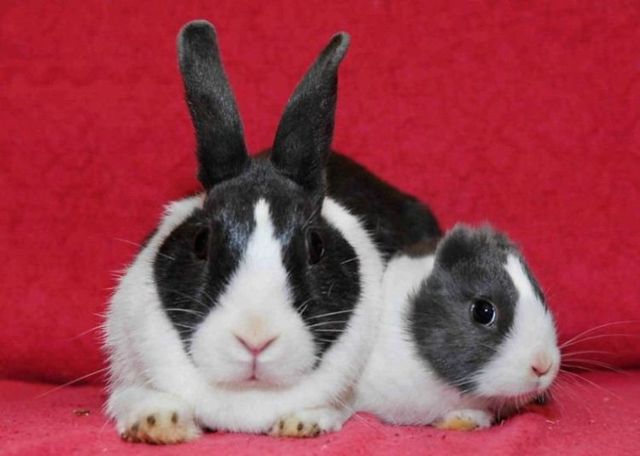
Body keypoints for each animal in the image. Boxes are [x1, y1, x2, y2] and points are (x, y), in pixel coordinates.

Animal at [104, 20, 439, 444]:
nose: (255, 338)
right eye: (201, 242)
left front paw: (303, 423)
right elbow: (131, 396)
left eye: (315, 247)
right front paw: (157, 423)